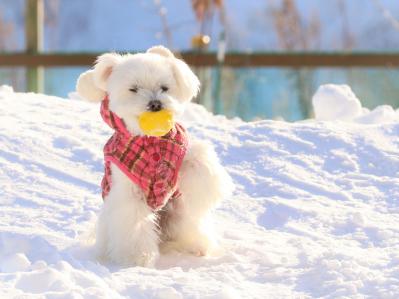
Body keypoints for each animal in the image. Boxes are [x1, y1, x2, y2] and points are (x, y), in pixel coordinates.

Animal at [76, 45, 233, 268]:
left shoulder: (182, 148)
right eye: (134, 89)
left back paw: (197, 246)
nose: (155, 104)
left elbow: (200, 162)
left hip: (178, 215)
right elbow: (134, 222)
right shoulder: (128, 192)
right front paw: (137, 258)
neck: (151, 140)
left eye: (164, 88)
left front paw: (203, 192)